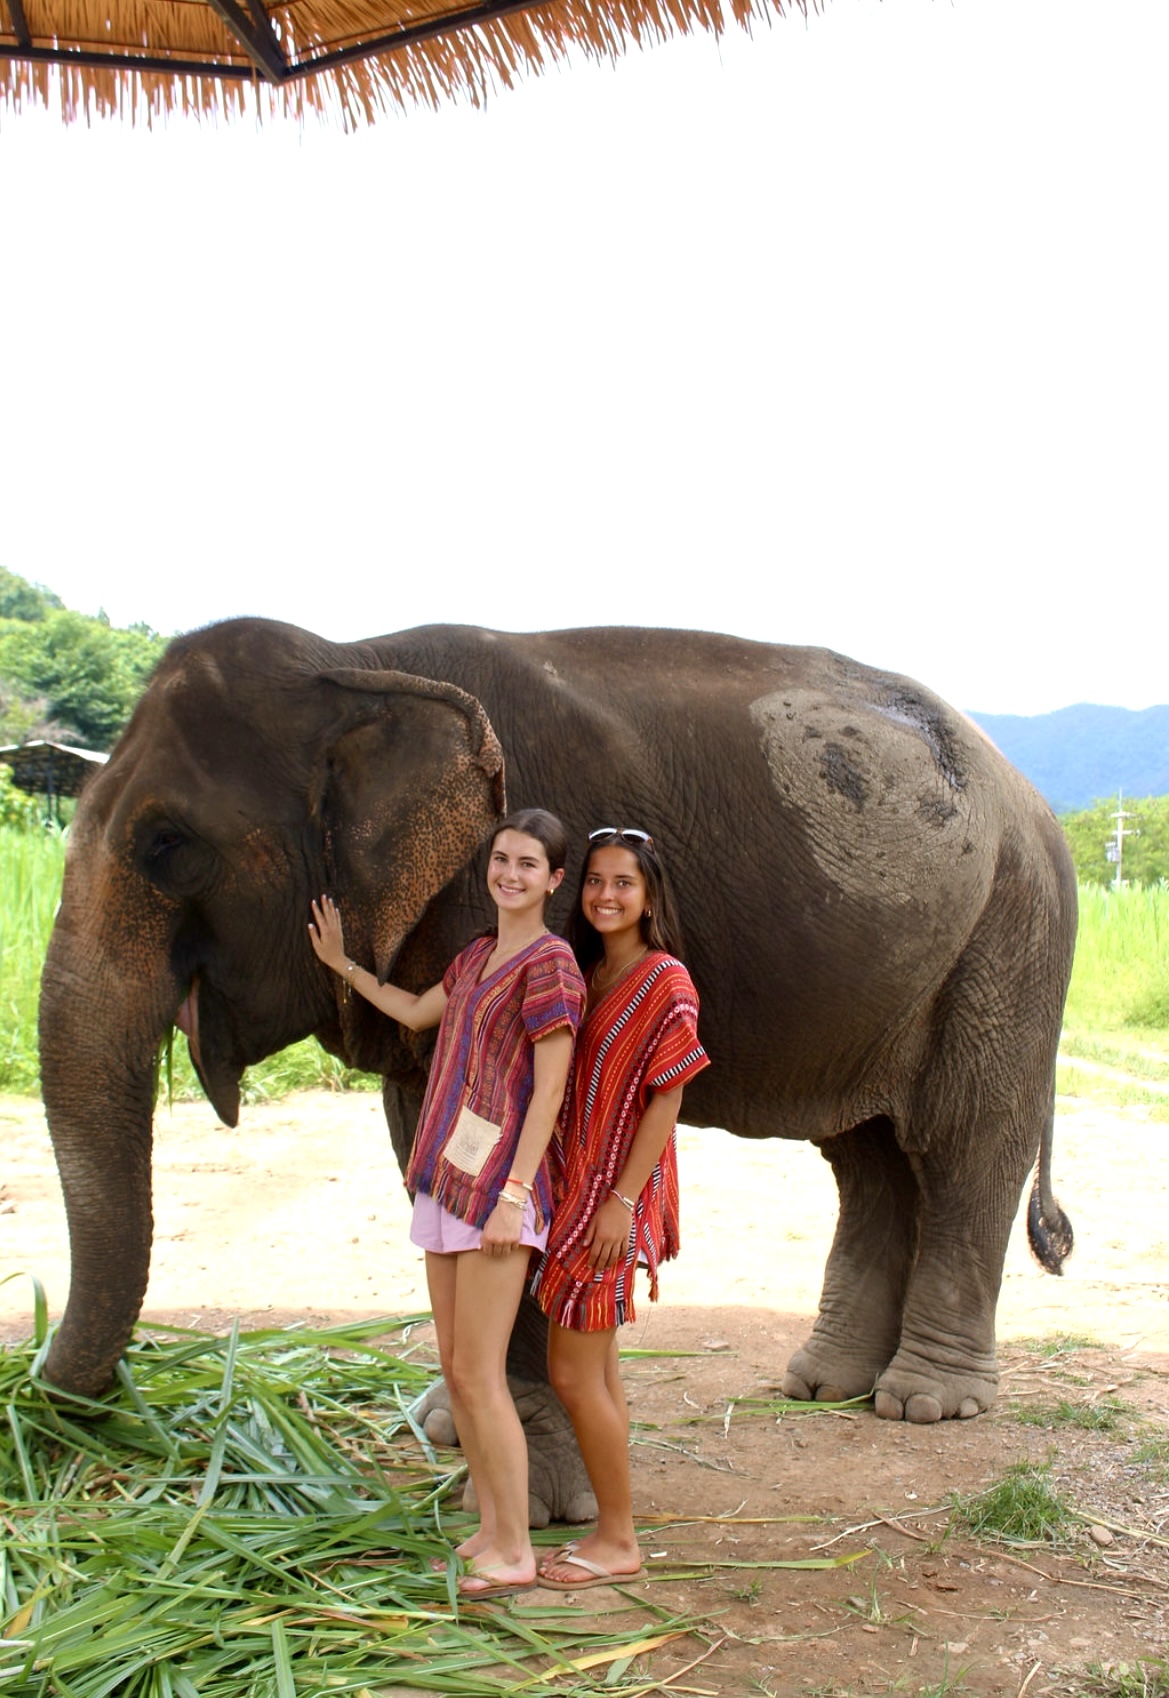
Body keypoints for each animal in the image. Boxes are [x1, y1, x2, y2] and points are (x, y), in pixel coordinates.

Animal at [38, 618, 1075, 1518]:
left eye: (166, 845)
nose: (51, 1399)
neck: (354, 663)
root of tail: (1033, 797)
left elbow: (517, 1149)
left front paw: (524, 1504)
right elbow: (427, 1141)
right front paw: (451, 1428)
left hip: (1009, 937)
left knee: (962, 1146)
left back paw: (928, 1402)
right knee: (867, 1158)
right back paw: (825, 1385)